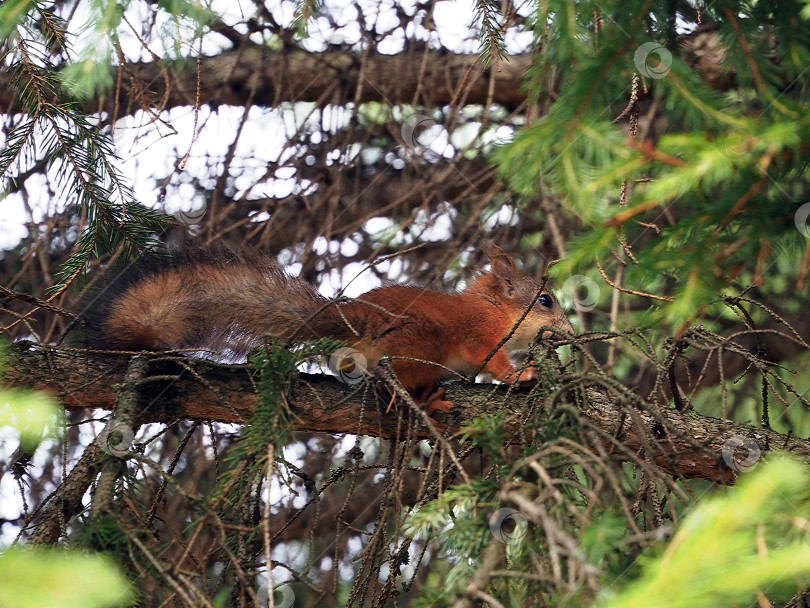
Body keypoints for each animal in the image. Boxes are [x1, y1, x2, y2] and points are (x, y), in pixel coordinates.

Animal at [87, 245, 568, 410]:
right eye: (545, 300)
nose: (567, 328)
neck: (493, 308)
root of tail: (358, 323)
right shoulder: (480, 334)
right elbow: (494, 362)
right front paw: (521, 376)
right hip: (422, 341)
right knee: (387, 378)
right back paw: (423, 401)